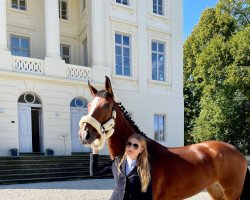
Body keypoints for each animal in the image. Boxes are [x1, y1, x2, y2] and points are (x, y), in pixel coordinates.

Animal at [78, 76, 250, 199]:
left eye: (106, 105)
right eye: (88, 105)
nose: (84, 135)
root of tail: (238, 152)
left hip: (231, 192)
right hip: (216, 190)